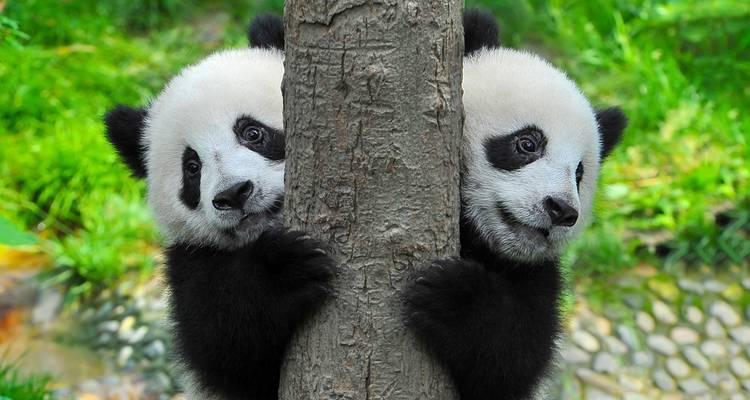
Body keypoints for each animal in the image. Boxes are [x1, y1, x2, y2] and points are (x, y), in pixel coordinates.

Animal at [104, 16, 335, 400]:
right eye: (192, 167)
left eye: (252, 132)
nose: (234, 194)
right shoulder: (189, 261)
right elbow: (224, 347)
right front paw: (282, 271)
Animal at [403, 10, 627, 400]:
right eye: (527, 144)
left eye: (579, 173)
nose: (561, 210)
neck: (480, 241)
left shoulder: (538, 275)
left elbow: (515, 360)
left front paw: (456, 299)